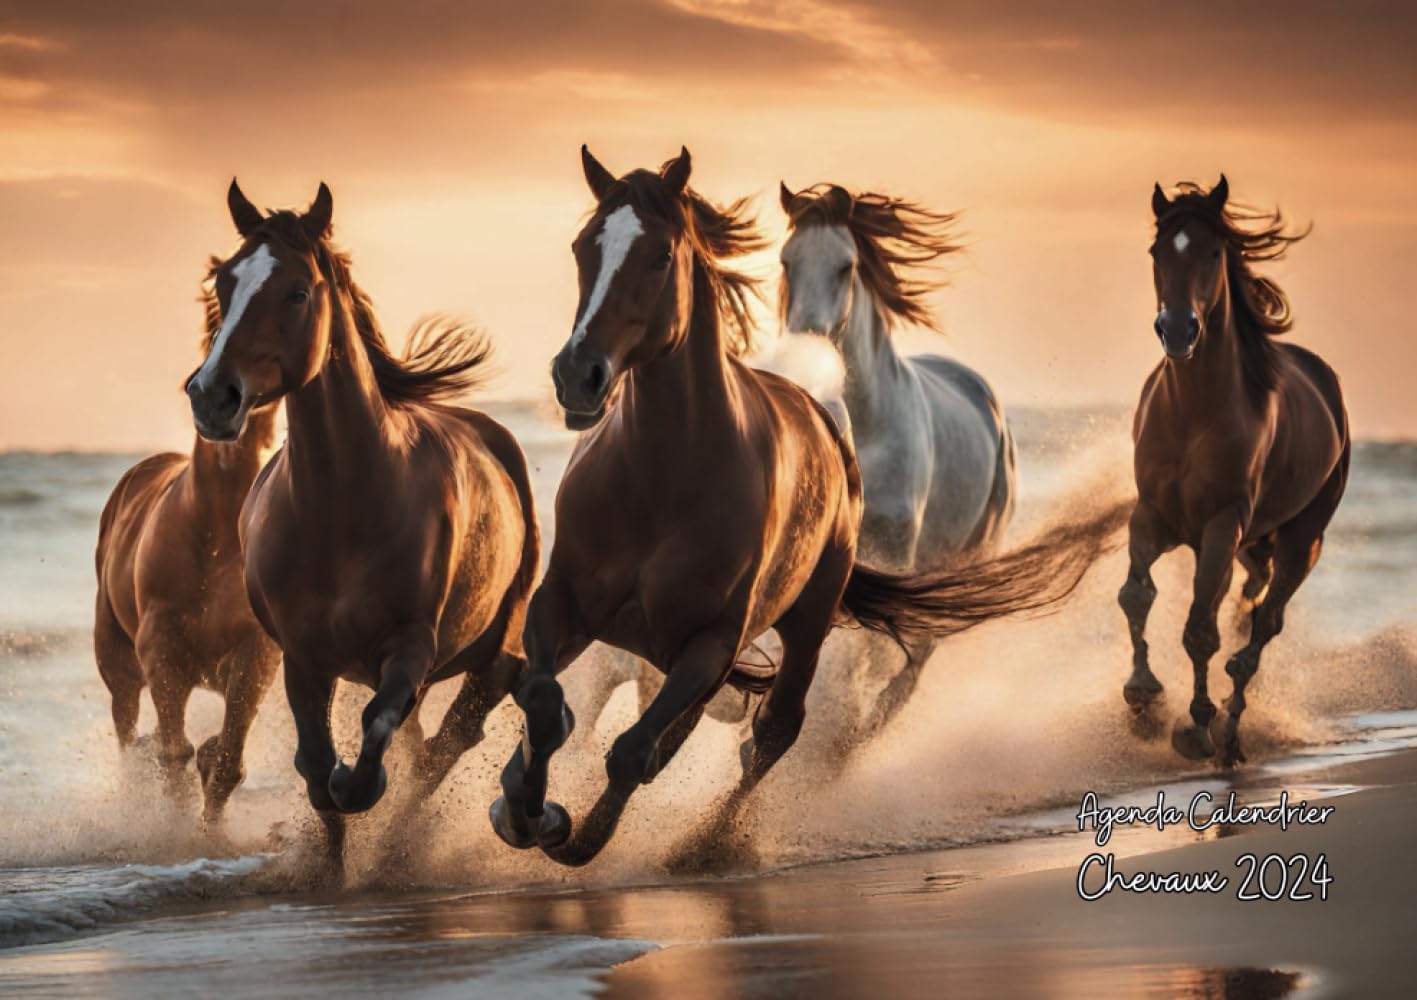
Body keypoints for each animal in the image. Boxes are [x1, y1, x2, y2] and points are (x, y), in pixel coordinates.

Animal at [95, 336, 280, 825]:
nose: (228, 426)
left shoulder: (256, 652)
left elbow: (226, 758)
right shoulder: (161, 648)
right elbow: (173, 755)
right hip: (115, 658)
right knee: (127, 722)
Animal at [184, 181, 539, 869]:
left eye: (297, 291)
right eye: (225, 282)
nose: (212, 396)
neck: (342, 512)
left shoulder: (411, 647)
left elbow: (371, 739)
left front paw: (361, 790)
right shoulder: (301, 657)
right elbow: (315, 765)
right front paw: (327, 863)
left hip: (493, 656)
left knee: (448, 744)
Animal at [779, 183, 1016, 731]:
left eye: (845, 266)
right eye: (785, 260)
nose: (806, 345)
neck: (866, 430)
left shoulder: (895, 549)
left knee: (919, 649)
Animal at [1119, 176, 1349, 766]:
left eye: (1213, 252)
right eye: (1157, 252)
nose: (1179, 329)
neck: (1195, 410)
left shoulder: (1222, 522)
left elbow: (1200, 628)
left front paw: (1195, 724)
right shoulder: (1153, 515)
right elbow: (1136, 594)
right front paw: (1141, 694)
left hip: (1300, 536)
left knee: (1264, 624)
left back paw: (1229, 734)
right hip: (1246, 544)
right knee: (1248, 600)